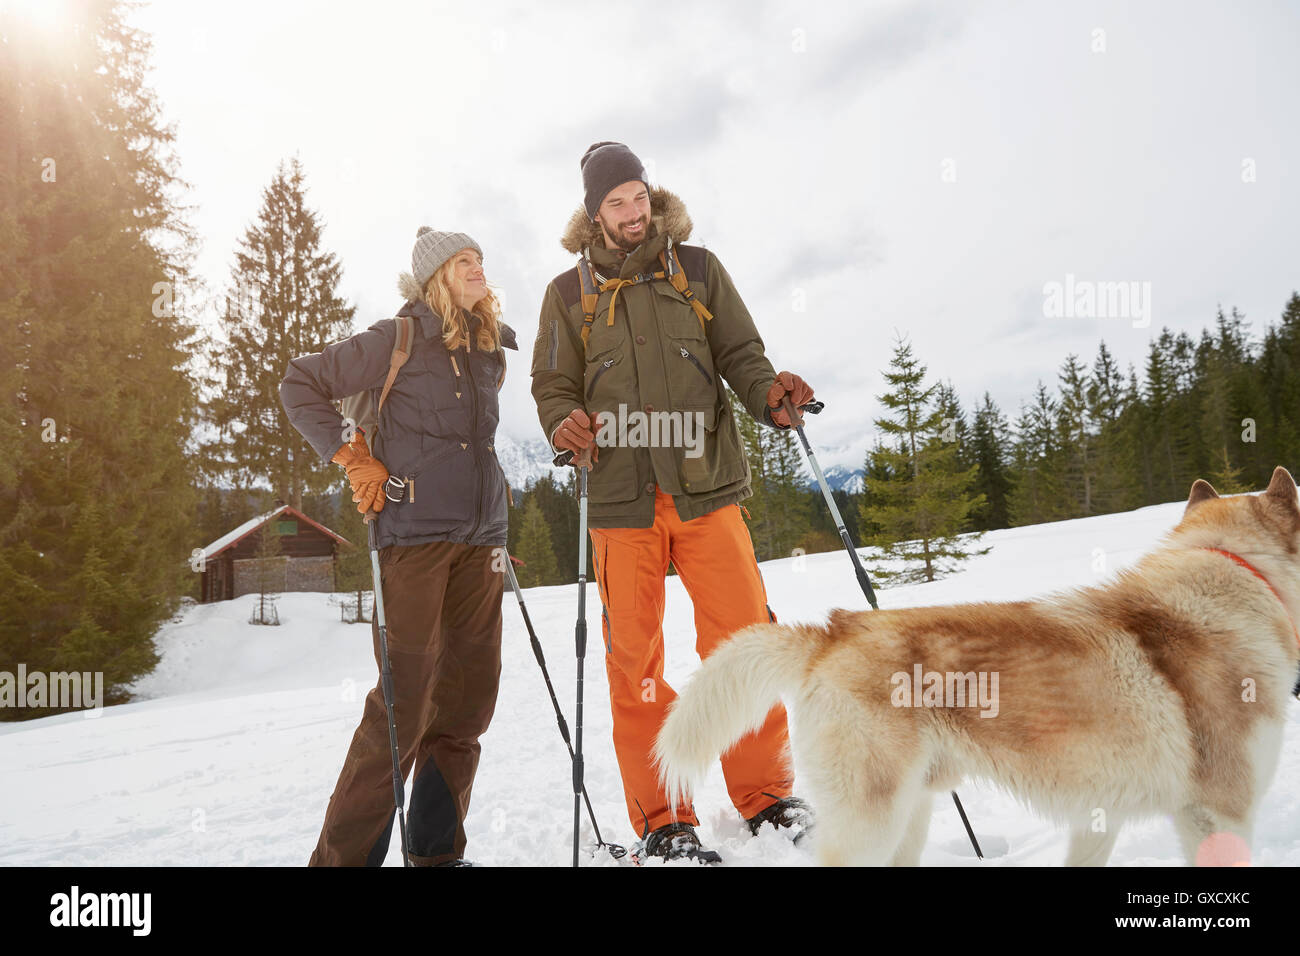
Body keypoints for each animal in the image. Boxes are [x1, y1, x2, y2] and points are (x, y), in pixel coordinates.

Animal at [655, 468, 1300, 863]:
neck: (1238, 579)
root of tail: (832, 631)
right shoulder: (1219, 814)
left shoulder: (1099, 819)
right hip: (871, 823)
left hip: (908, 817)